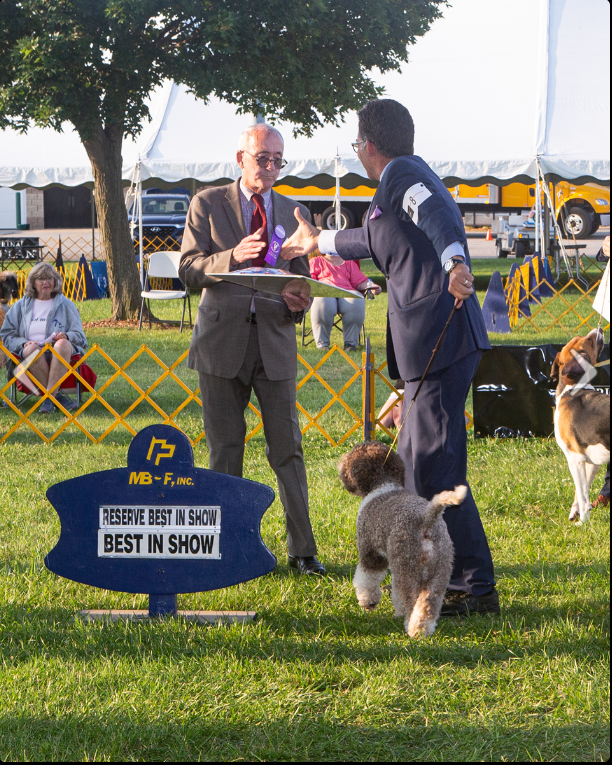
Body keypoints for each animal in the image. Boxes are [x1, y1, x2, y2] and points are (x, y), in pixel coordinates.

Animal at [340, 438, 464, 636]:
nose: (340, 467)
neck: (383, 485)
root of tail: (426, 519)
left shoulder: (370, 550)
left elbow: (367, 578)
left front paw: (368, 602)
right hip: (440, 570)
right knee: (428, 604)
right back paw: (422, 630)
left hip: (406, 566)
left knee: (409, 600)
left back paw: (409, 626)